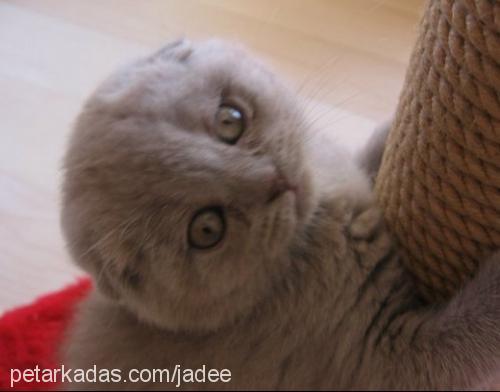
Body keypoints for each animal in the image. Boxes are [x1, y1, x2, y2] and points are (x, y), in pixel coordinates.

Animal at [59, 39, 500, 388]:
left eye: (230, 120)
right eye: (206, 229)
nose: (275, 181)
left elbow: (377, 150)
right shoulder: (375, 356)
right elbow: (457, 344)